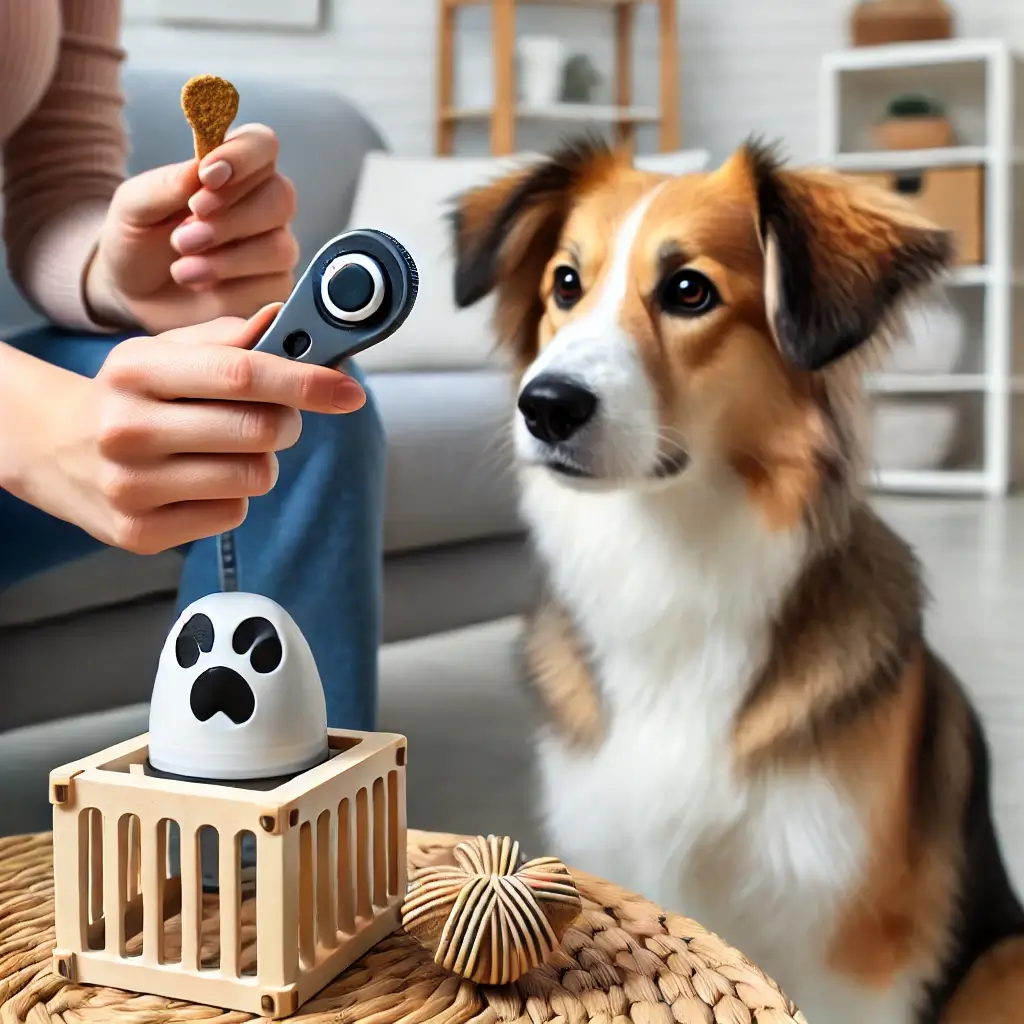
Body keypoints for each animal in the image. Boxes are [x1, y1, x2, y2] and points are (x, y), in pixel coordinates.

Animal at [452, 138, 1024, 1024]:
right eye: (565, 283)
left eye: (689, 291)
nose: (545, 406)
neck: (670, 563)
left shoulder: (854, 952)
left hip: (1004, 957)